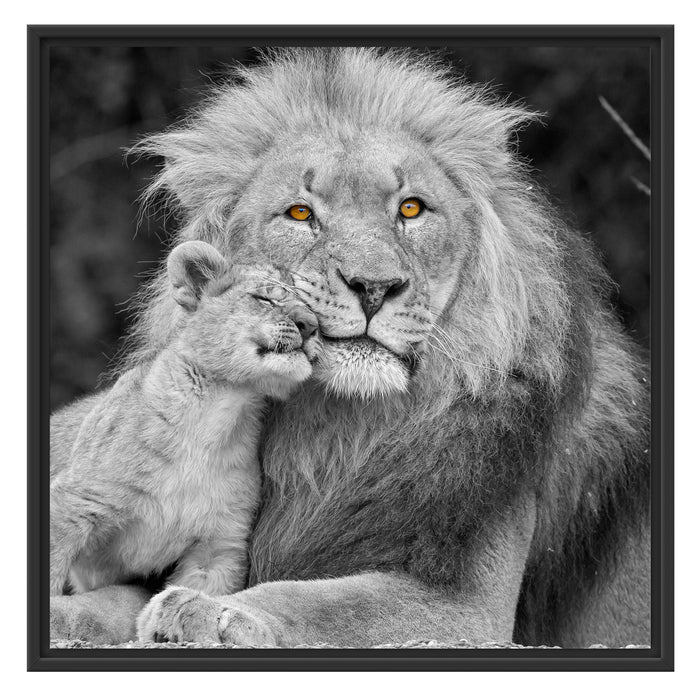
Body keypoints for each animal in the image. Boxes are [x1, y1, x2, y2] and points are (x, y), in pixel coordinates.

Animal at [50, 240, 319, 599]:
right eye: (265, 298)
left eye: (315, 312)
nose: (311, 325)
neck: (218, 416)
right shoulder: (73, 503)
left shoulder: (219, 545)